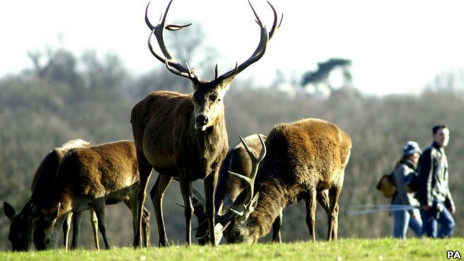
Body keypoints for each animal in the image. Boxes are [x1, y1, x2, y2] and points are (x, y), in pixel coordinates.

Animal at [131, 0, 282, 245]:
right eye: (195, 97)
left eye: (217, 97)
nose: (202, 119)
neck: (203, 155)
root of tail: (138, 104)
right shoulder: (183, 167)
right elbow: (189, 210)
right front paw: (188, 243)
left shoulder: (213, 168)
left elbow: (211, 209)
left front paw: (211, 243)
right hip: (142, 153)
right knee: (141, 193)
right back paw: (137, 243)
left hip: (165, 167)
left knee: (156, 194)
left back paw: (164, 242)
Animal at [219, 119, 350, 243]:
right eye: (225, 235)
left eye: (237, 233)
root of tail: (347, 137)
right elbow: (277, 223)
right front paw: (275, 243)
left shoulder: (311, 185)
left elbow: (310, 218)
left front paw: (313, 241)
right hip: (322, 188)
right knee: (335, 209)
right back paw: (333, 239)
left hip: (339, 176)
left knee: (332, 211)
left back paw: (329, 239)